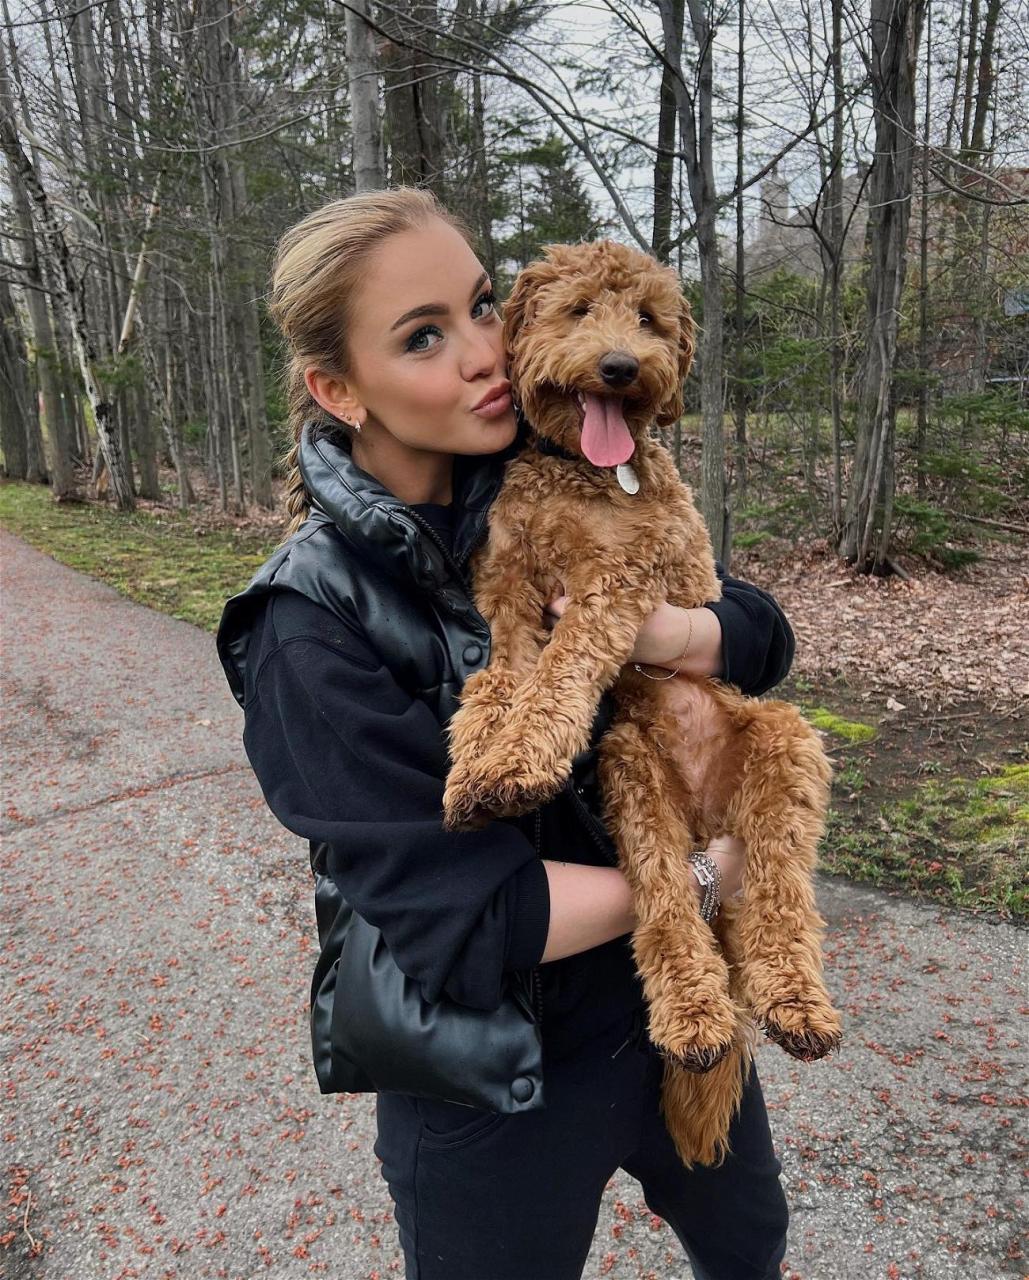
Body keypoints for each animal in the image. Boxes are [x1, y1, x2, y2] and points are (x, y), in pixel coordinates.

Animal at [437, 240, 839, 1172]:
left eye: (650, 320)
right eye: (580, 310)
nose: (622, 366)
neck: (578, 473)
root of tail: (706, 811)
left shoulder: (611, 589)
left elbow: (556, 678)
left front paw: (518, 761)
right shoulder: (505, 592)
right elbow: (496, 685)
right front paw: (478, 766)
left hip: (781, 744)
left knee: (780, 896)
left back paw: (793, 1001)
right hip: (632, 773)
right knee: (666, 905)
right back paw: (694, 1017)